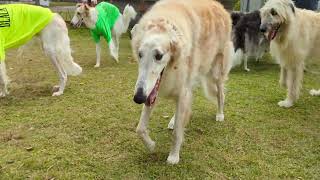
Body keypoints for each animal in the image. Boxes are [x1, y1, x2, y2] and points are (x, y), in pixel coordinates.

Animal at [130, 0, 232, 165]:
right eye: (140, 54)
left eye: (159, 56)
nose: (138, 98)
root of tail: (218, 5)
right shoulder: (154, 90)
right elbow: (140, 128)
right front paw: (151, 145)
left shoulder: (180, 89)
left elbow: (178, 132)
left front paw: (173, 156)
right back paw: (172, 120)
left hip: (216, 71)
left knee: (220, 94)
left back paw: (220, 114)